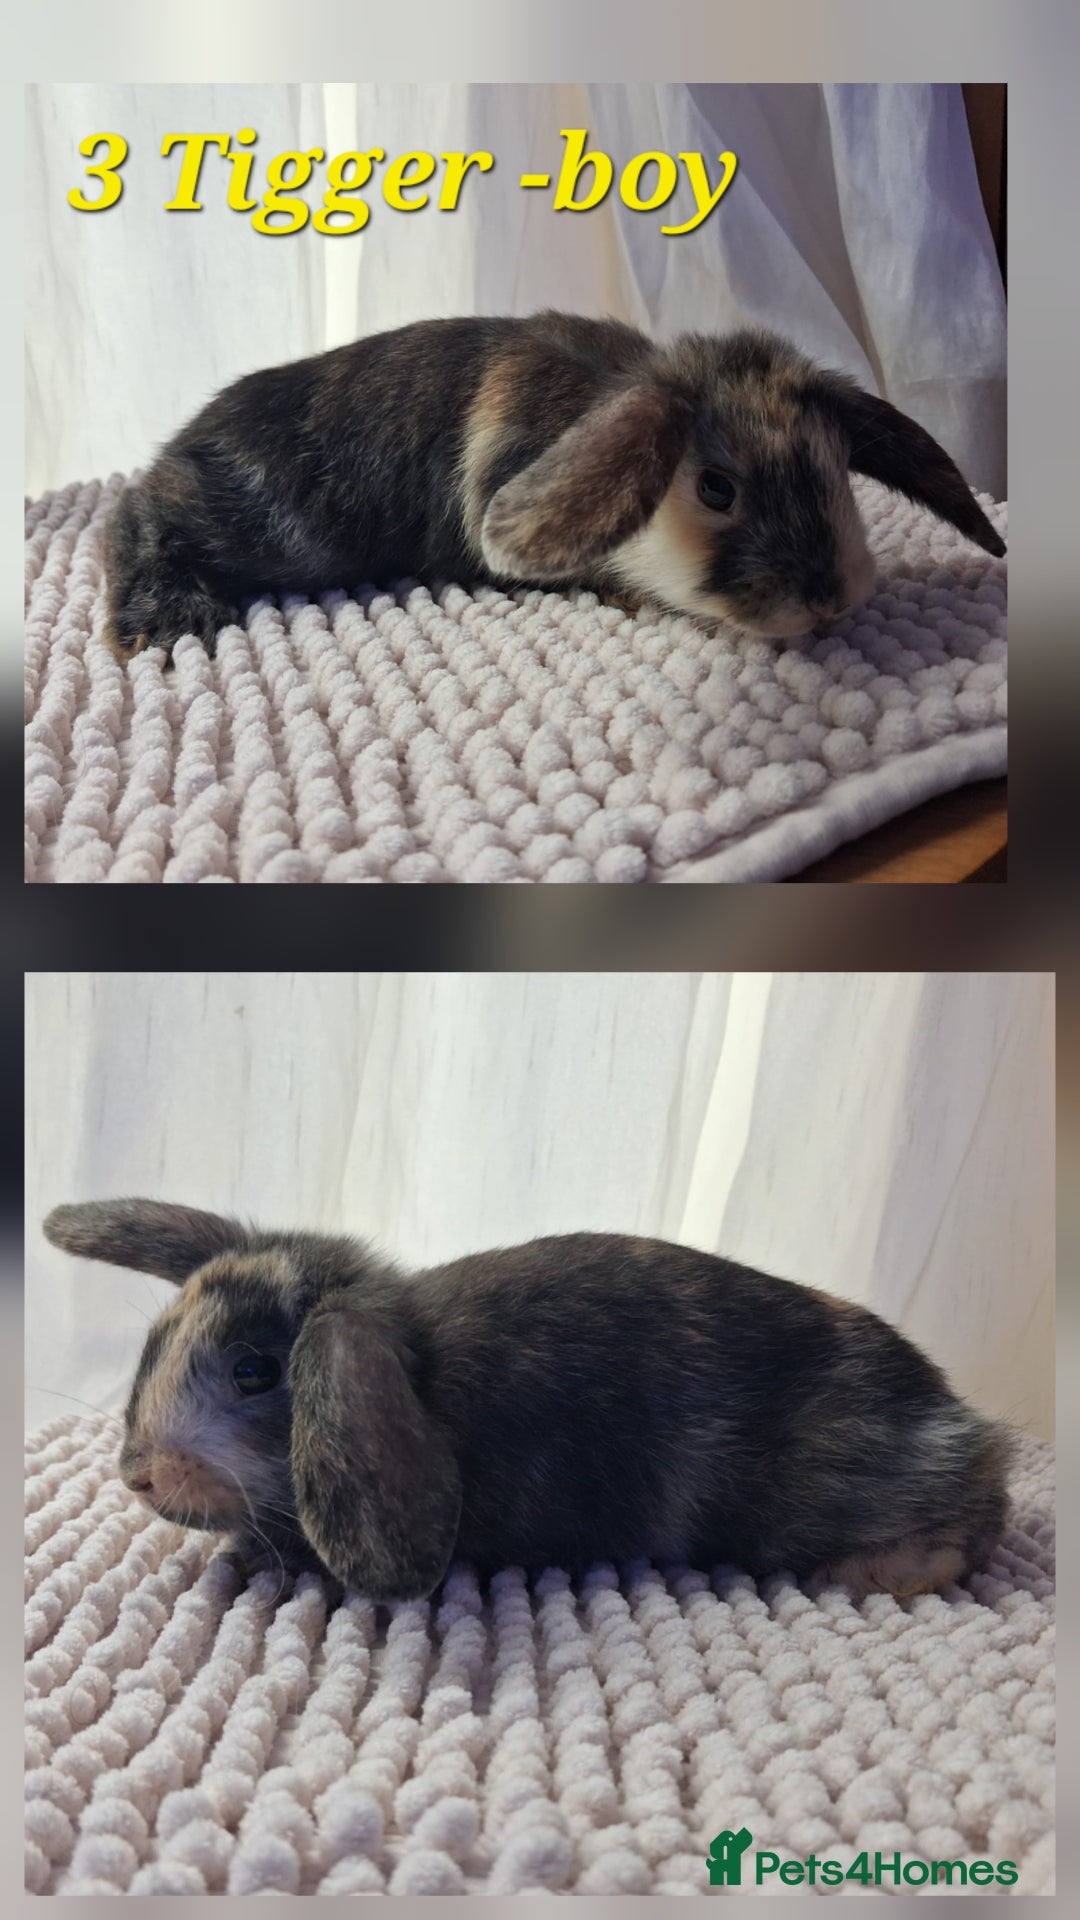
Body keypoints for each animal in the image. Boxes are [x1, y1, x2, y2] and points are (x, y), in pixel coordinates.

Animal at [101, 310, 1006, 662]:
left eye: (834, 468)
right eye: (716, 489)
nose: (827, 600)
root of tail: (189, 439)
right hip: (258, 525)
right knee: (136, 509)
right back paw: (165, 620)